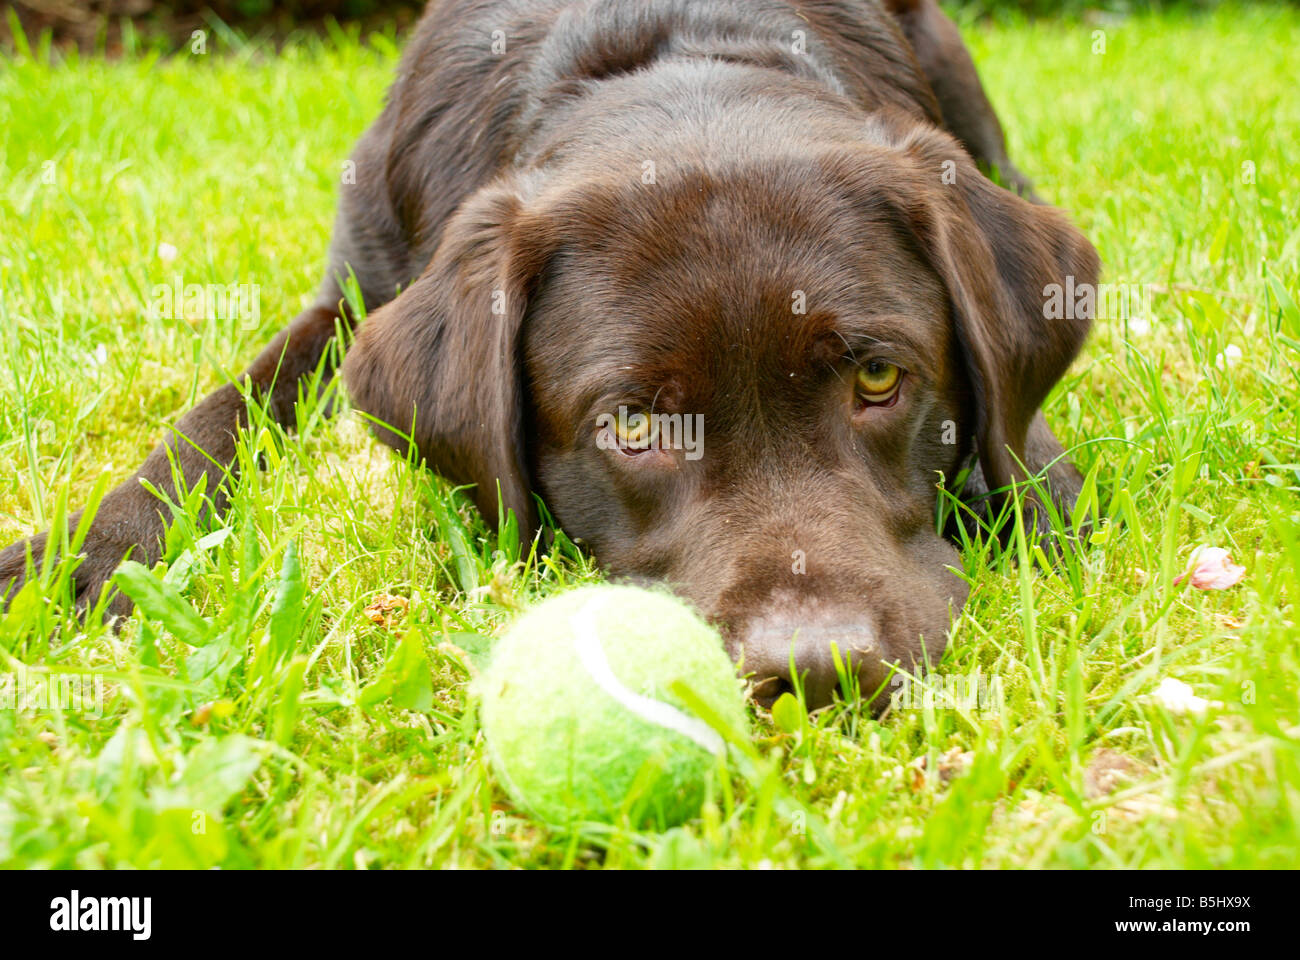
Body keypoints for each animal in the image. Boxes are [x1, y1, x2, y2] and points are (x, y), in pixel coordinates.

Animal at [0, 0, 1097, 702]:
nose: (814, 669)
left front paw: (1033, 491)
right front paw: (98, 545)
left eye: (878, 377)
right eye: (633, 425)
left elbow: (1033, 463)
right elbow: (226, 404)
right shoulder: (350, 293)